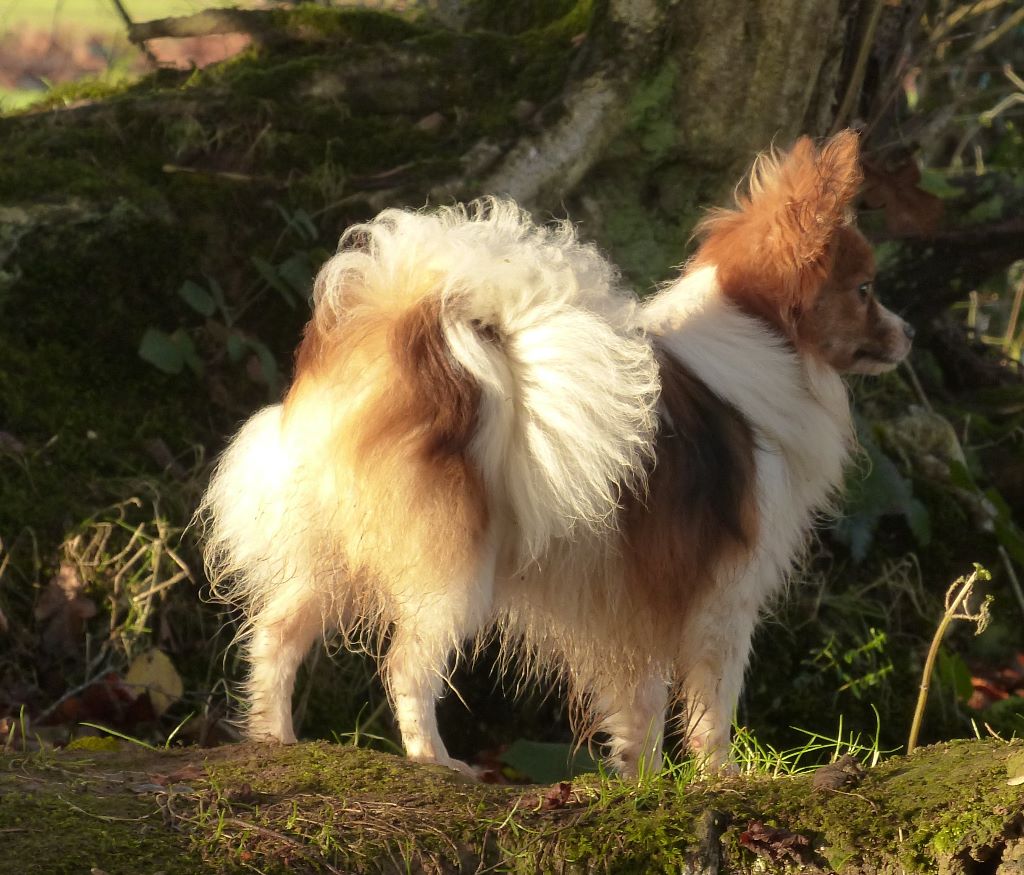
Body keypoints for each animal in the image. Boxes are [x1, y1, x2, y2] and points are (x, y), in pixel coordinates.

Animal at [199, 128, 913, 774]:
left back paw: (274, 739)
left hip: (338, 551)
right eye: (866, 290)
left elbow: (641, 707)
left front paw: (642, 783)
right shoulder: (721, 600)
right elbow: (711, 712)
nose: (908, 333)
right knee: (405, 666)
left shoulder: (632, 607)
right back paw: (436, 760)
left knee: (275, 633)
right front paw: (720, 783)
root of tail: (401, 337)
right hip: (453, 569)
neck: (766, 340)